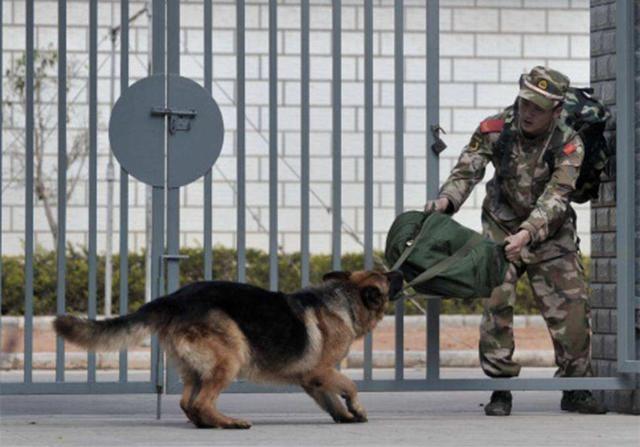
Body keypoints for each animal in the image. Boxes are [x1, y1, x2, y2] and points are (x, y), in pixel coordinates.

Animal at [56, 272, 404, 428]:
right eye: (388, 277)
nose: (401, 271)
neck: (344, 298)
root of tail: (172, 299)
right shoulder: (321, 371)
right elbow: (350, 385)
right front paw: (356, 409)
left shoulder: (312, 379)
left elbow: (330, 399)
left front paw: (344, 416)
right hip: (231, 358)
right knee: (201, 402)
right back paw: (228, 423)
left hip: (195, 368)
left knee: (188, 402)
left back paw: (208, 422)